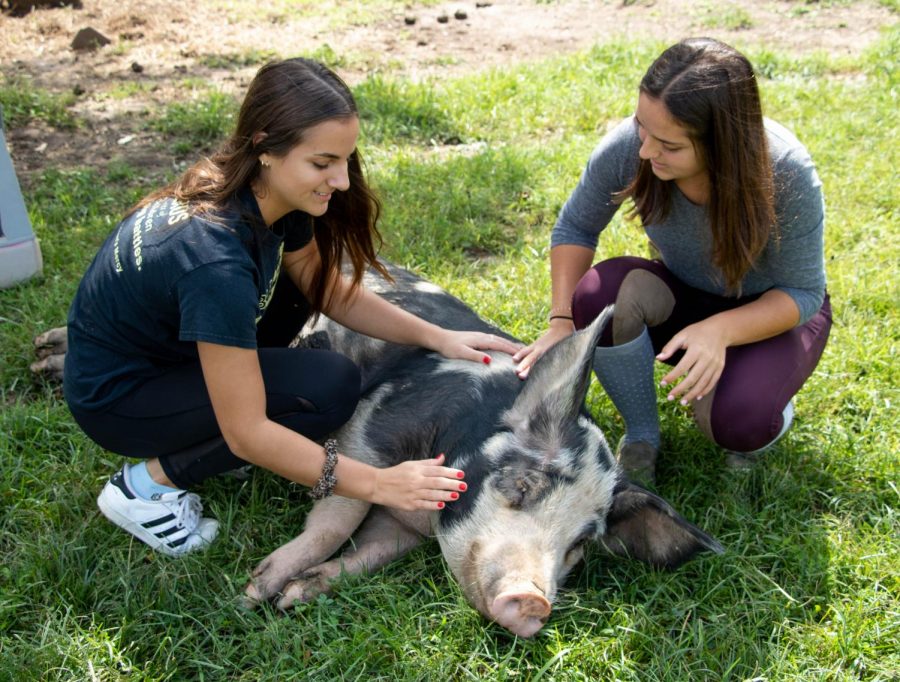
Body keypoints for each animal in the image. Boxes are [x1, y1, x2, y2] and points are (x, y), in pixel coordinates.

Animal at [241, 262, 724, 636]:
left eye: (581, 542)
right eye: (524, 485)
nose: (532, 601)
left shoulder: (401, 528)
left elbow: (370, 552)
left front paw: (293, 595)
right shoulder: (369, 429)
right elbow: (339, 517)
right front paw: (254, 593)